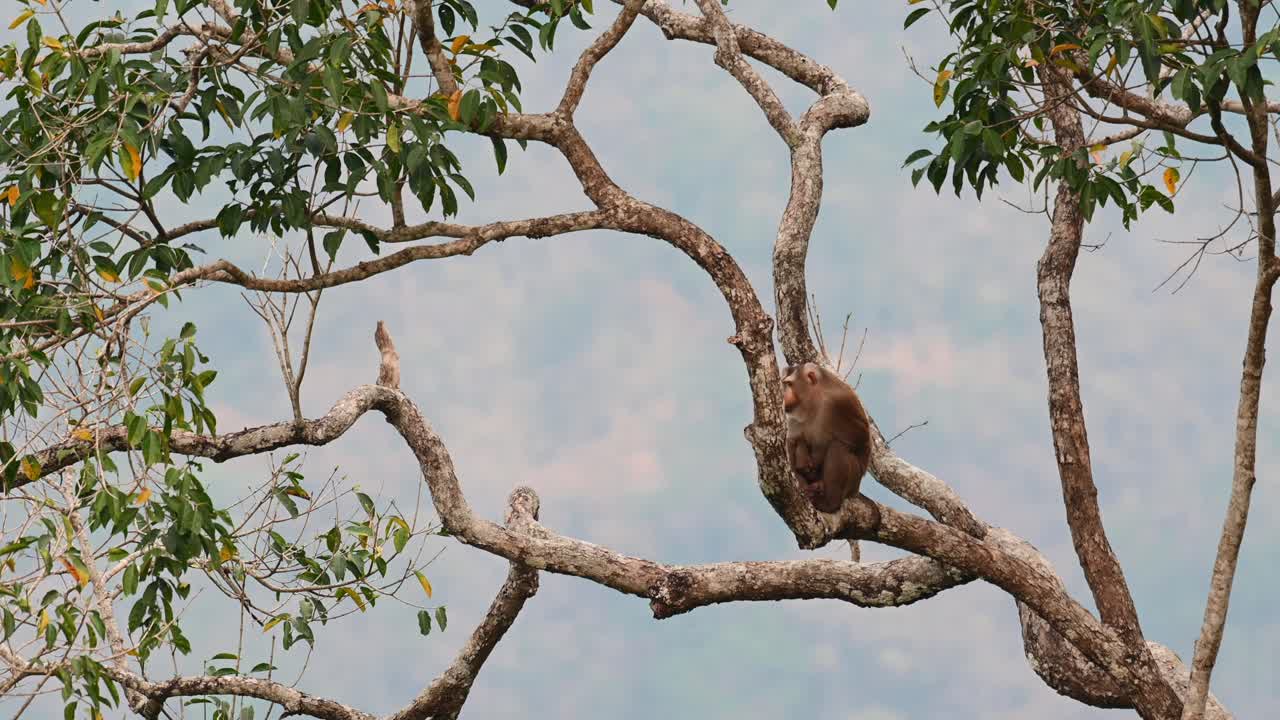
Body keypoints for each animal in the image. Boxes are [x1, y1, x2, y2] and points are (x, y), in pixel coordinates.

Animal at [781, 362, 872, 513]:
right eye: (785, 384)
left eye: (790, 384)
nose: (784, 396)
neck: (814, 399)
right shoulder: (793, 413)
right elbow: (792, 440)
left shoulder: (838, 402)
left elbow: (861, 439)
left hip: (854, 480)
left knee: (838, 447)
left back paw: (830, 502)